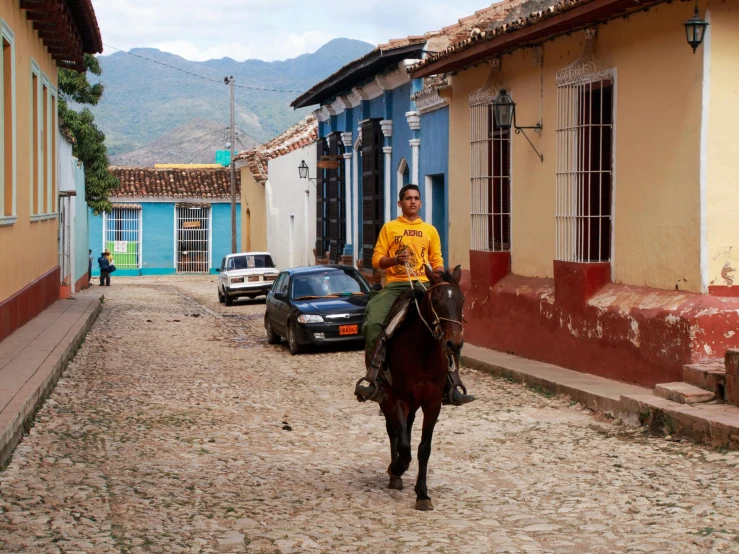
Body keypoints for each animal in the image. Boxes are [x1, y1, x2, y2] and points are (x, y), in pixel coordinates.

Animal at [382, 264, 462, 508]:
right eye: (435, 300)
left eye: (462, 300)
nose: (454, 344)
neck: (422, 352)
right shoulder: (397, 398)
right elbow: (404, 445)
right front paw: (396, 468)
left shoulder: (433, 402)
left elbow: (423, 448)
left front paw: (423, 494)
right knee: (393, 431)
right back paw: (395, 474)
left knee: (406, 428)